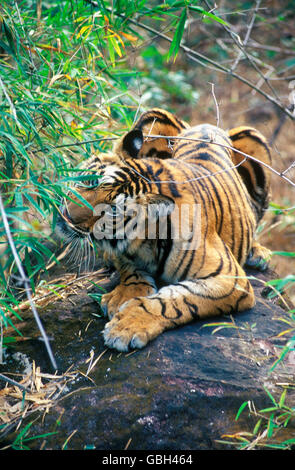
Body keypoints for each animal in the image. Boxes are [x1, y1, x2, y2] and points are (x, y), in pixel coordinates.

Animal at [57, 108, 272, 350]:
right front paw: (122, 296)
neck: (144, 239)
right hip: (153, 117)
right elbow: (130, 269)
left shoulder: (230, 278)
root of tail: (209, 126)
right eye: (92, 182)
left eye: (112, 210)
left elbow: (176, 300)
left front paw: (127, 325)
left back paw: (259, 253)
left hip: (256, 142)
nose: (66, 216)